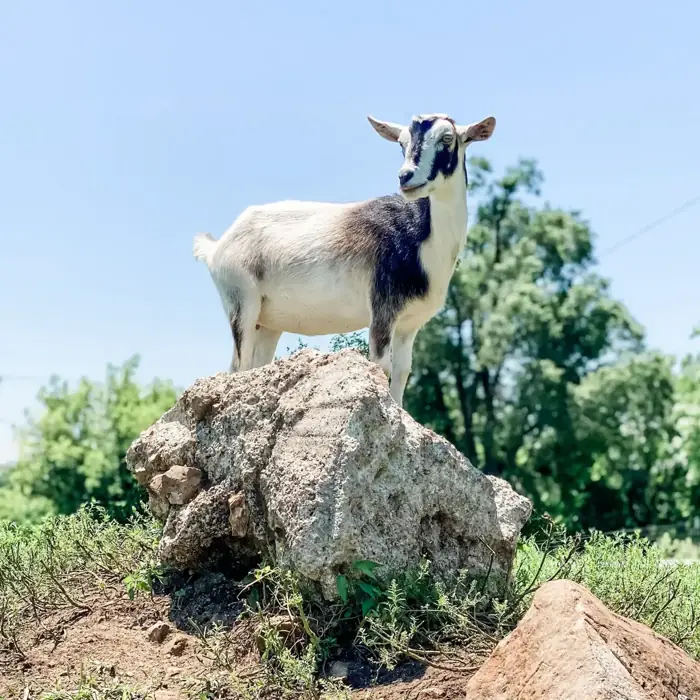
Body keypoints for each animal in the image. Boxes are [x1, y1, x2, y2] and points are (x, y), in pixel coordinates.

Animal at [193, 113, 495, 406]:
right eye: (401, 142)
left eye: (447, 138)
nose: (406, 176)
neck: (420, 234)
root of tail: (218, 247)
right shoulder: (382, 310)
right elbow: (382, 366)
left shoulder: (409, 323)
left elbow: (402, 372)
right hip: (242, 304)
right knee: (238, 366)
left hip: (267, 324)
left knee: (254, 367)